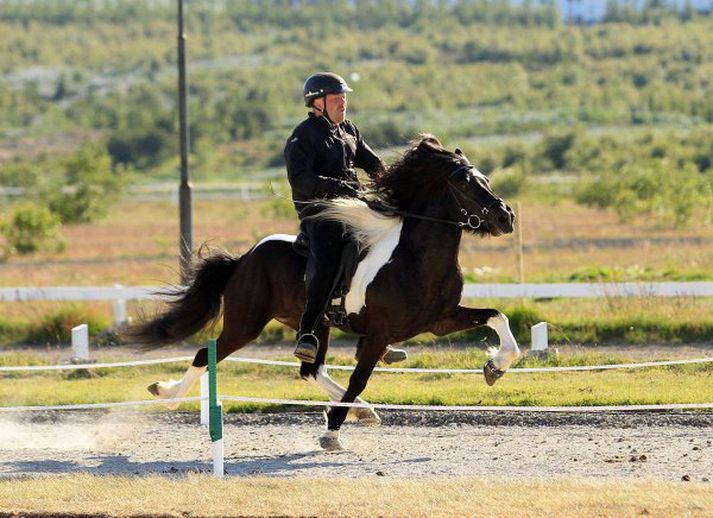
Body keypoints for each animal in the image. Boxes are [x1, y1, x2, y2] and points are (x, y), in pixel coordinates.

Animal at [126, 136, 516, 452]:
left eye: (485, 179)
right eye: (464, 183)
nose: (506, 217)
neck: (414, 258)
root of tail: (244, 259)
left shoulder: (440, 321)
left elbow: (498, 318)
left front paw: (494, 367)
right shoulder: (379, 335)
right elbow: (359, 378)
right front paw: (331, 433)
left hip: (316, 325)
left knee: (310, 369)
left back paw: (361, 410)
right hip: (246, 324)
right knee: (204, 355)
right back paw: (167, 396)